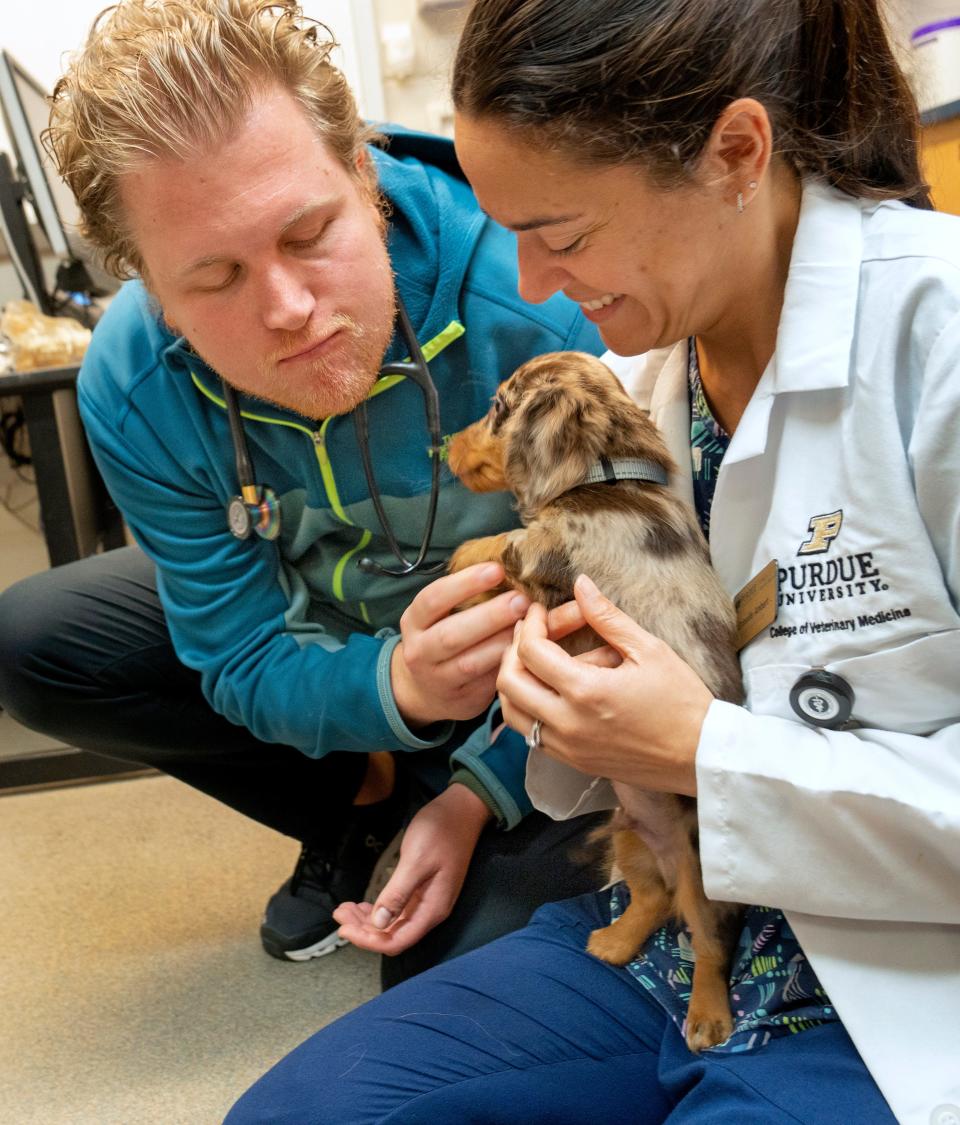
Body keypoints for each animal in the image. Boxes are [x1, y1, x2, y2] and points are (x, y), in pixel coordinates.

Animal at [445, 351, 747, 1053]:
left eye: (497, 408)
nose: (443, 445)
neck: (611, 479)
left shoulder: (540, 551)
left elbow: (496, 543)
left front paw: (456, 558)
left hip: (703, 877)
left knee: (708, 942)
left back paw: (707, 1017)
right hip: (631, 837)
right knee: (652, 899)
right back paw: (613, 942)